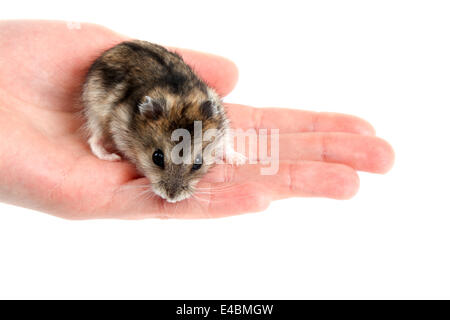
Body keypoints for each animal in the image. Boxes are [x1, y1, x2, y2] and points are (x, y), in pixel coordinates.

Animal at [82, 40, 241, 202]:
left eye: (198, 163)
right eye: (157, 158)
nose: (171, 198)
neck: (181, 101)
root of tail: (120, 45)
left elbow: (226, 145)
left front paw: (239, 160)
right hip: (96, 114)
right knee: (94, 140)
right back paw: (111, 157)